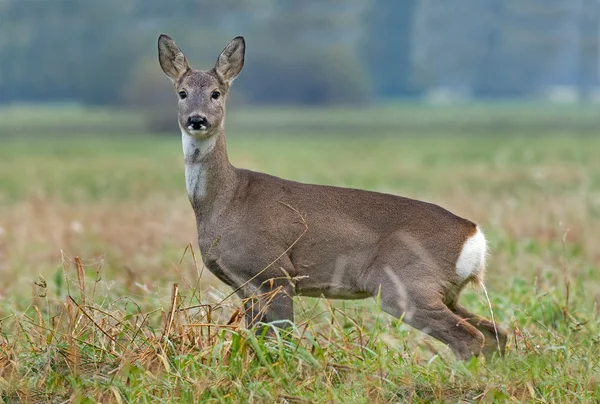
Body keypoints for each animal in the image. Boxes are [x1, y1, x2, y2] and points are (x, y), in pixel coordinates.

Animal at [158, 34, 506, 360]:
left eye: (216, 93)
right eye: (182, 93)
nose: (197, 120)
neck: (226, 200)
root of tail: (474, 236)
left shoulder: (275, 272)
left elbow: (283, 341)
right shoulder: (246, 286)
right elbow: (257, 341)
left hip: (406, 286)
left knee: (470, 338)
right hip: (445, 292)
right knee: (496, 334)